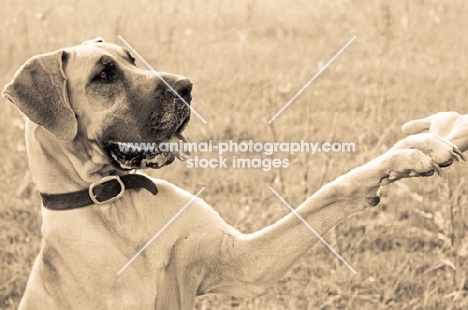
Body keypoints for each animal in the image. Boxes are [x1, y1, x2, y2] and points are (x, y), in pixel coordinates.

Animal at [2, 39, 464, 310]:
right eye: (104, 74)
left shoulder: (241, 262)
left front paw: (412, 149)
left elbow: (330, 192)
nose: (186, 87)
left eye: (131, 58)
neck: (118, 205)